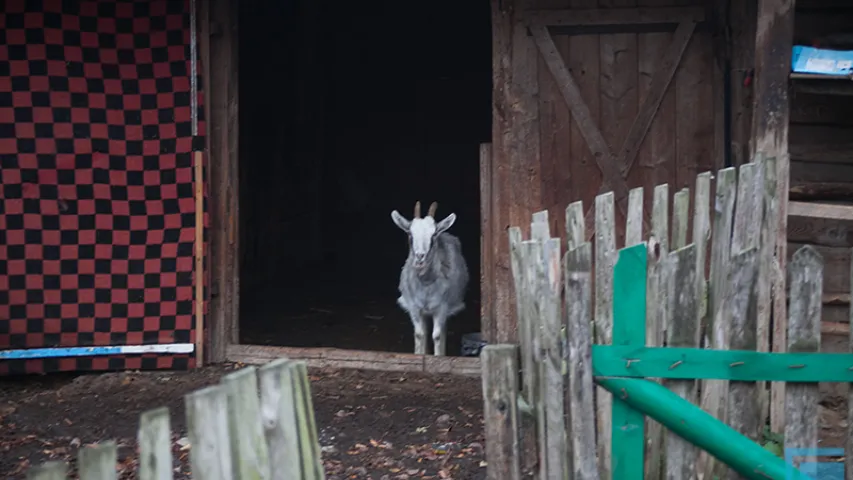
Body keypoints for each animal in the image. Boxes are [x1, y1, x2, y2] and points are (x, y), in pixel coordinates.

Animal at [392, 201, 470, 354]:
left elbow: (437, 336)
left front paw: (438, 356)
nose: (420, 258)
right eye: (410, 234)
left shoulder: (442, 308)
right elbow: (419, 334)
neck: (426, 285)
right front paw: (419, 354)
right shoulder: (414, 307)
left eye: (433, 235)